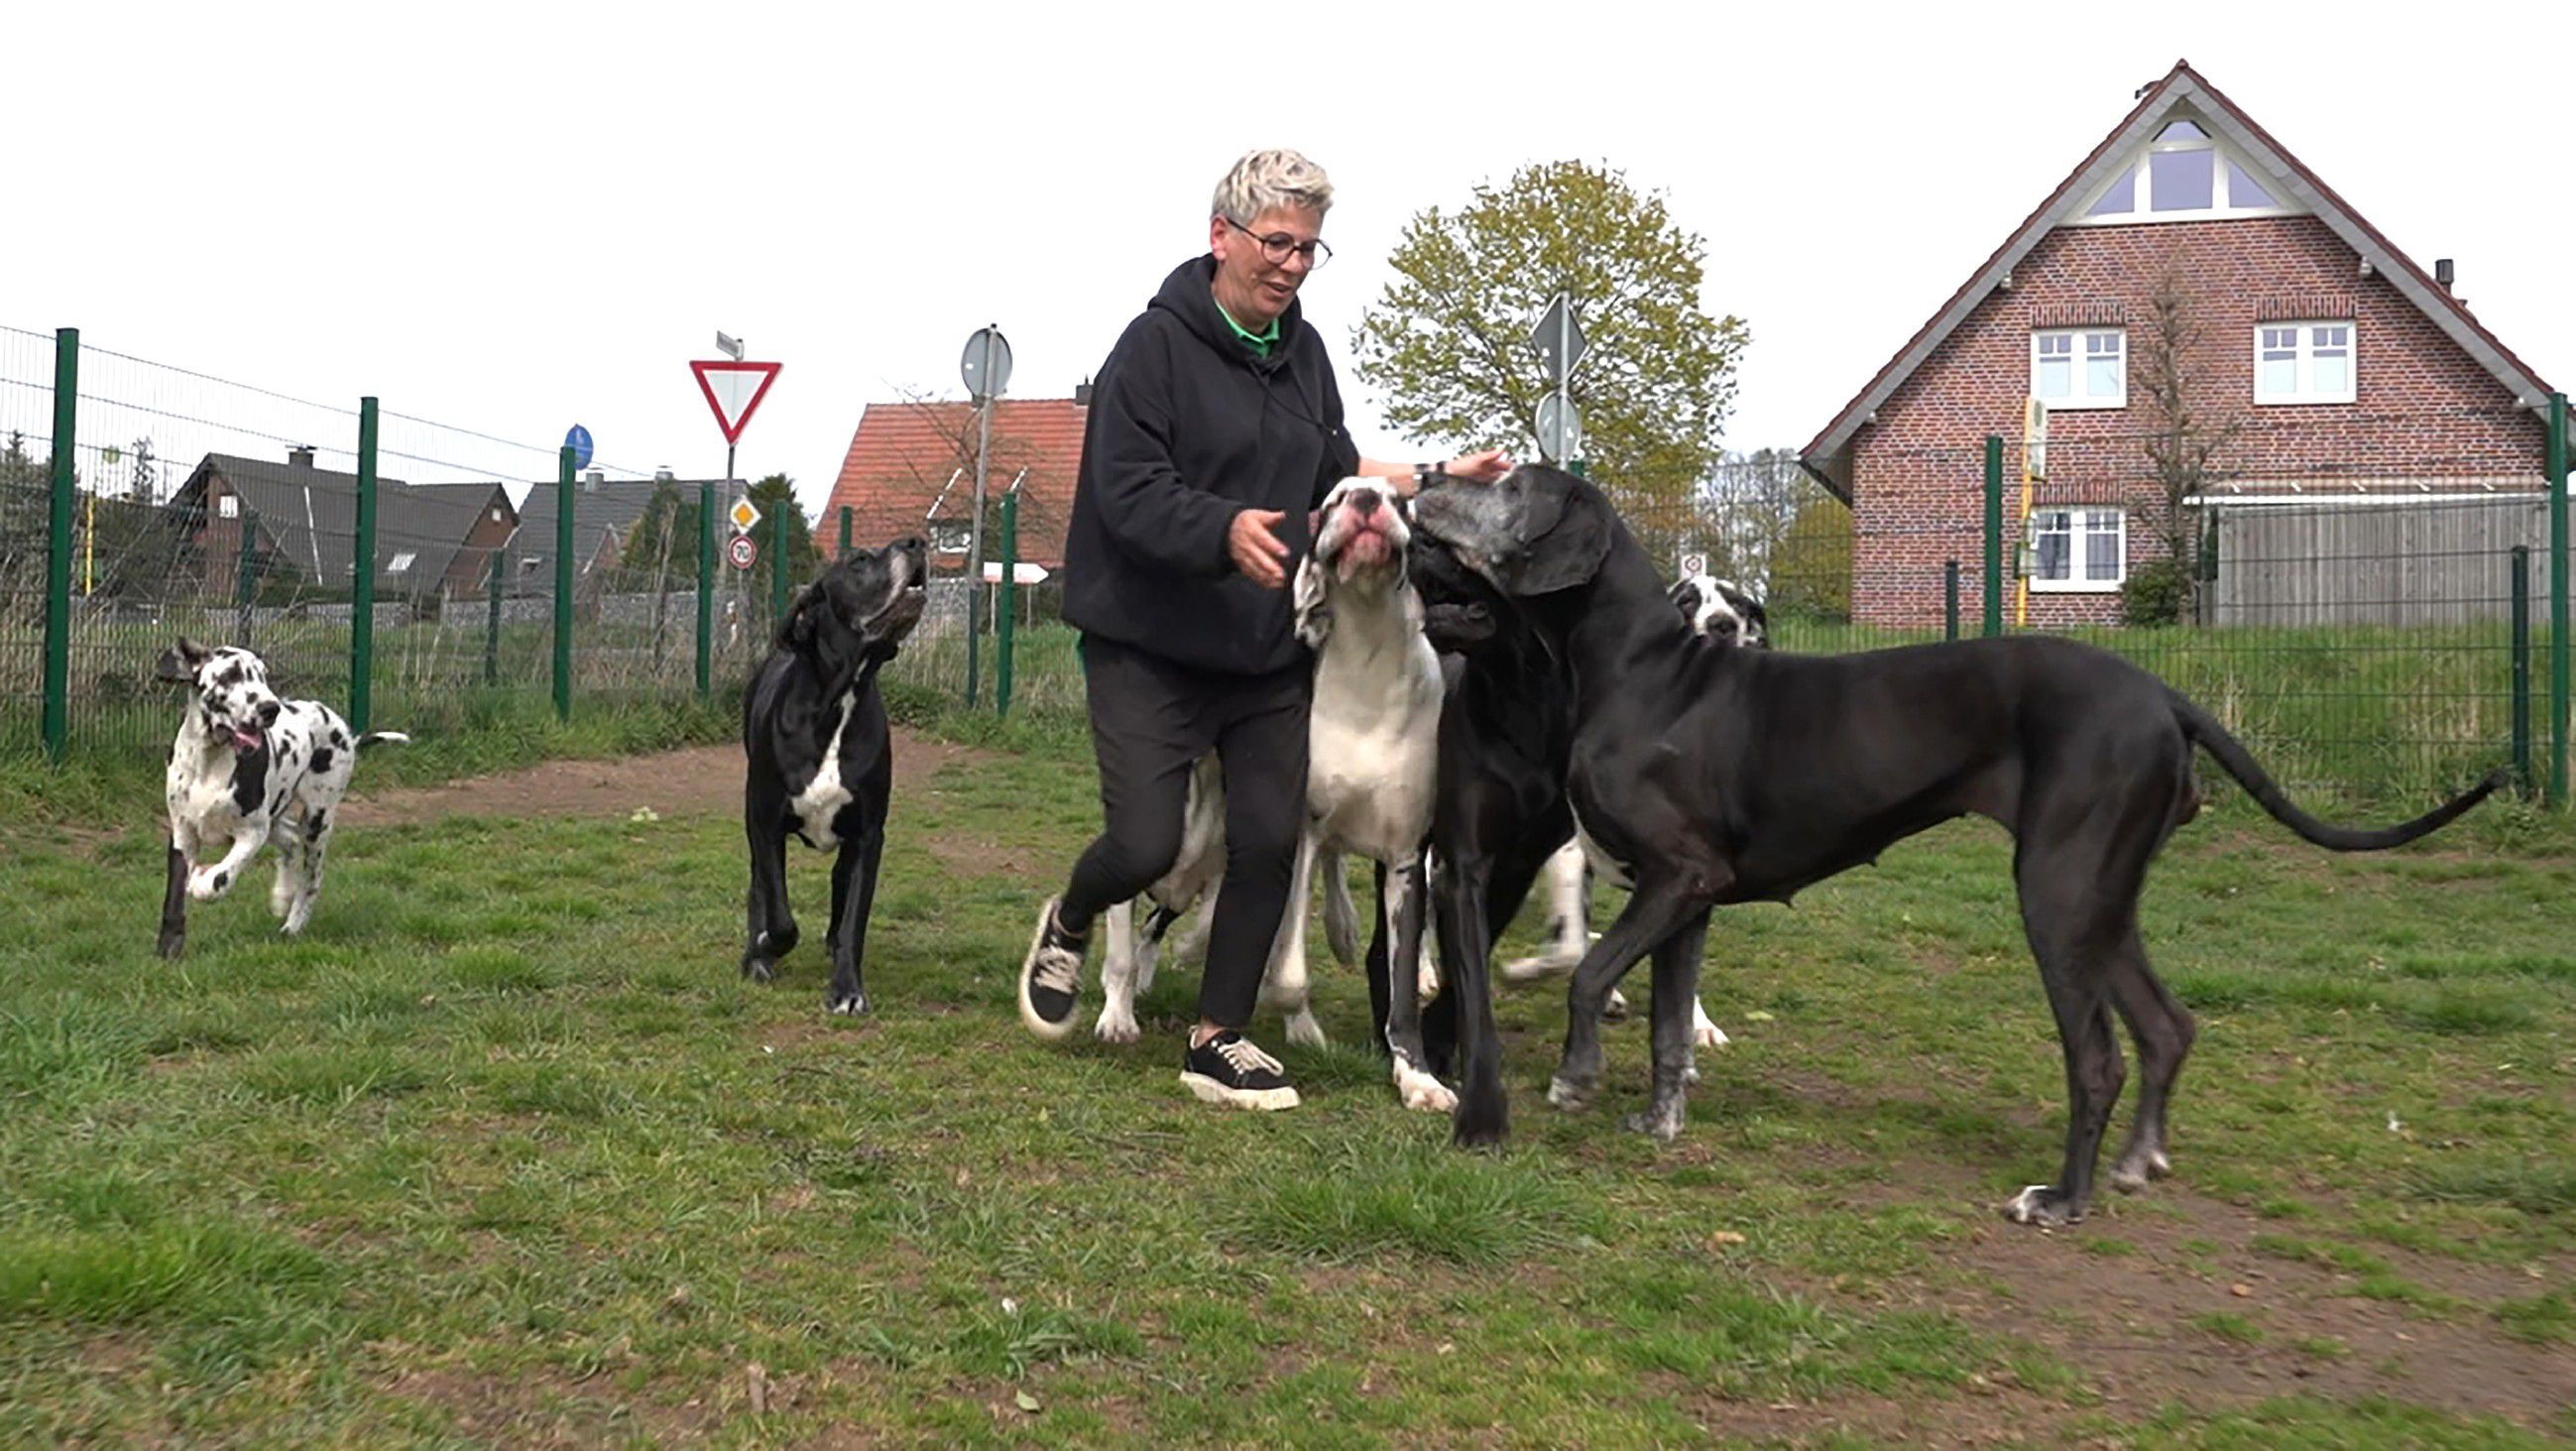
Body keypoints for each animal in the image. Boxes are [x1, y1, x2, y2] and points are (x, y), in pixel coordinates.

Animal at [158, 642, 407, 958]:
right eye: (230, 675)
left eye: (263, 675)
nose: (270, 708)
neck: (210, 763)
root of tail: (347, 733)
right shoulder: (183, 834)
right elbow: (173, 898)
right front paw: (168, 947)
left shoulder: (252, 832)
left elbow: (221, 877)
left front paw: (202, 883)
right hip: (276, 816)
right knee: (290, 841)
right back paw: (281, 895)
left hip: (316, 821)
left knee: (312, 876)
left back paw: (293, 925)